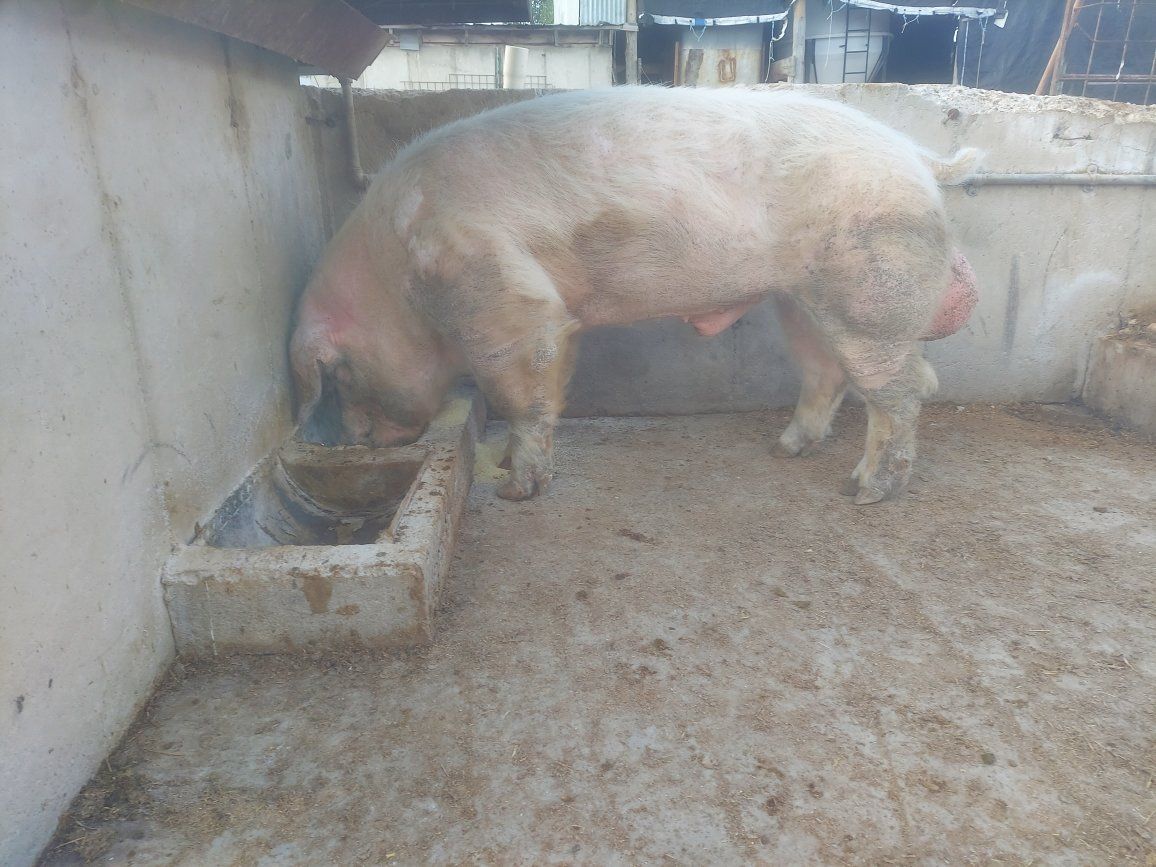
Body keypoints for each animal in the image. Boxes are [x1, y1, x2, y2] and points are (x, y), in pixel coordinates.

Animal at [290, 87, 979, 505]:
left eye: (340, 377)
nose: (356, 443)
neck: (397, 279)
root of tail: (921, 159)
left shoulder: (499, 297)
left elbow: (520, 391)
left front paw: (516, 491)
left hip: (872, 290)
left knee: (907, 389)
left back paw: (863, 491)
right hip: (803, 296)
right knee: (827, 374)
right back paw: (785, 450)